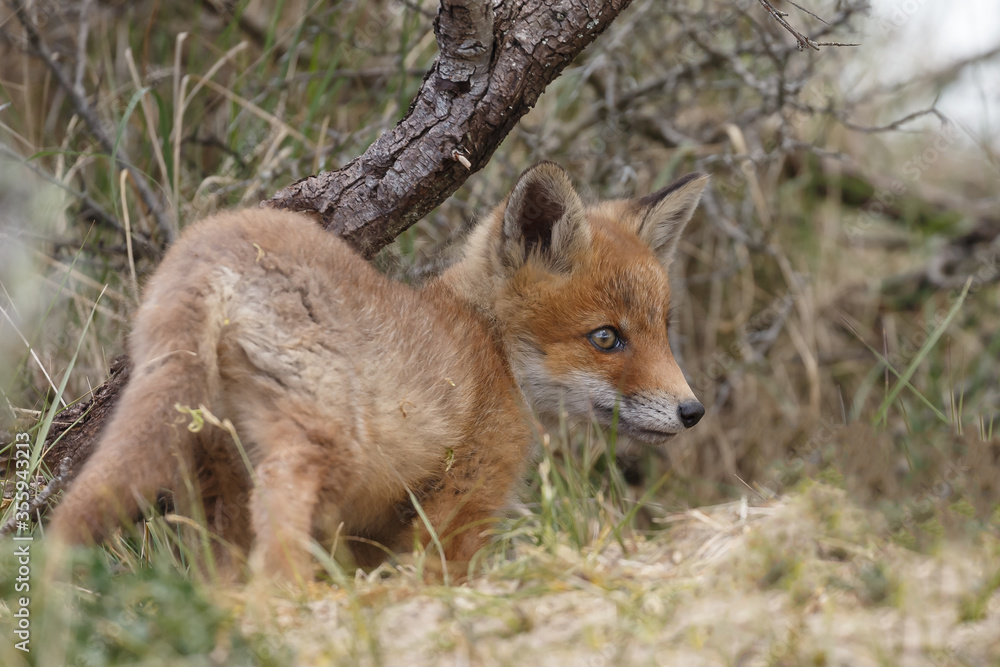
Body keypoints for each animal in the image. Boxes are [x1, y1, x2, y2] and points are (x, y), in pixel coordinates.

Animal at [47, 162, 708, 582]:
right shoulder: (465, 499)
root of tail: (210, 244)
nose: (692, 411)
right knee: (278, 519)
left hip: (208, 468)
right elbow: (436, 580)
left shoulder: (369, 535)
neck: (487, 342)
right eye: (606, 338)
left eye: (662, 329)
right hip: (323, 444)